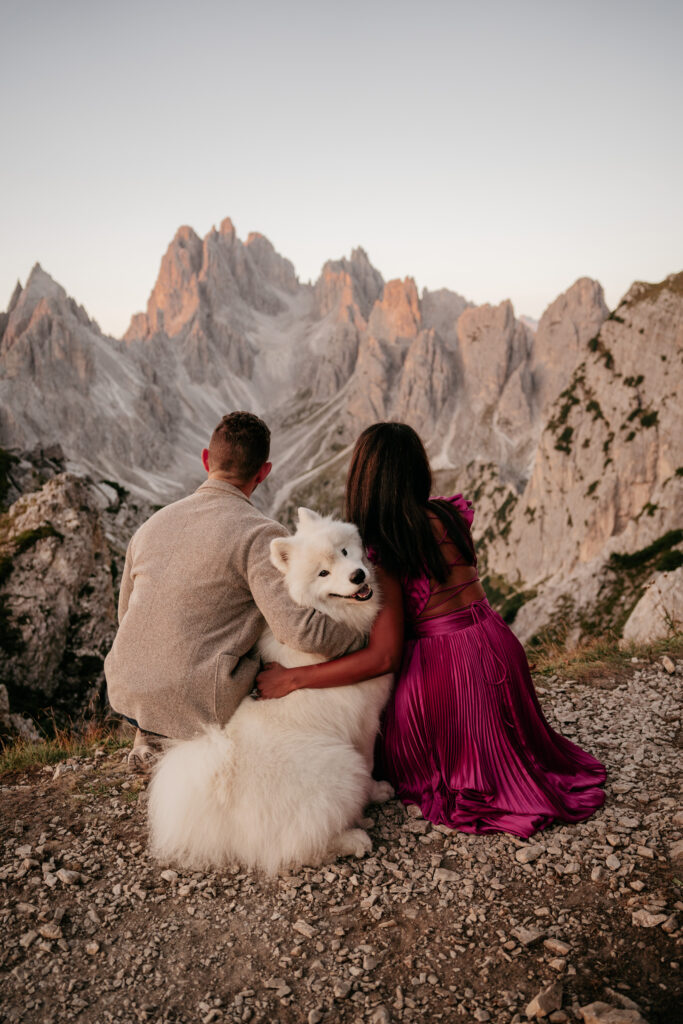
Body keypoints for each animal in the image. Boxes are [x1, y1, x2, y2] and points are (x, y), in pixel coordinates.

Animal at [149, 507, 395, 876]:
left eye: (344, 551)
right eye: (323, 573)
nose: (358, 575)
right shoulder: (365, 724)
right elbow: (370, 762)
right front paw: (377, 790)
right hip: (339, 772)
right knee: (300, 849)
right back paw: (353, 838)